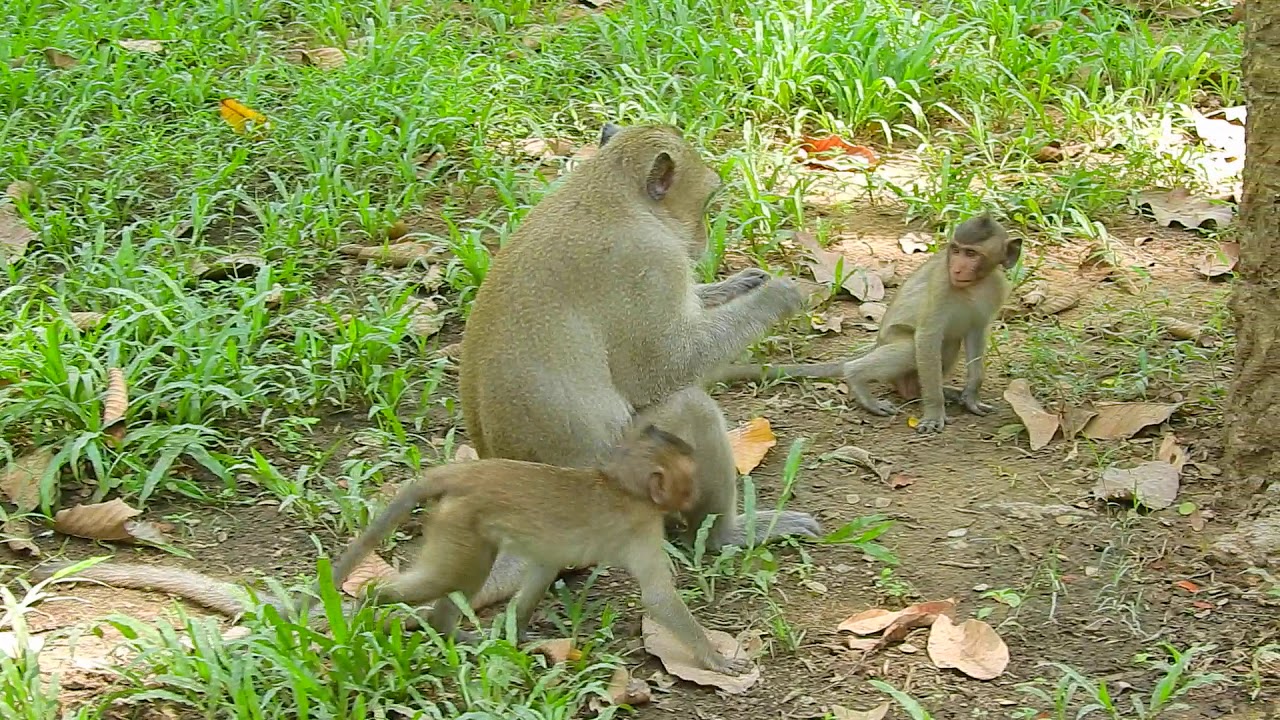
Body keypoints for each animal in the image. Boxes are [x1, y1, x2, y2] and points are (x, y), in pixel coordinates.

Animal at [324, 424, 752, 676]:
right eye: (689, 477)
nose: (694, 492)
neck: (621, 486)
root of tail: (467, 472)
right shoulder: (643, 526)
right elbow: (659, 597)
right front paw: (714, 658)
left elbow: (546, 566)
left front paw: (515, 630)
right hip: (459, 523)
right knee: (447, 577)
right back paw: (368, 605)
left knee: (463, 578)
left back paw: (448, 631)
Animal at [458, 121, 822, 611]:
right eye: (707, 202)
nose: (701, 241)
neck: (606, 193)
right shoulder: (649, 264)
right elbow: (665, 367)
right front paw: (776, 297)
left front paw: (735, 285)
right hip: (617, 481)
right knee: (691, 408)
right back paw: (724, 536)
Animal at [709, 214, 1021, 434]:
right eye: (956, 250)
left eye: (972, 254)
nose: (957, 268)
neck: (974, 285)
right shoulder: (942, 284)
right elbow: (927, 337)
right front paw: (934, 411)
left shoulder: (996, 290)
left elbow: (976, 335)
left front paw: (971, 394)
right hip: (894, 345)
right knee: (913, 348)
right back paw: (862, 381)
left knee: (949, 344)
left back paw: (935, 391)